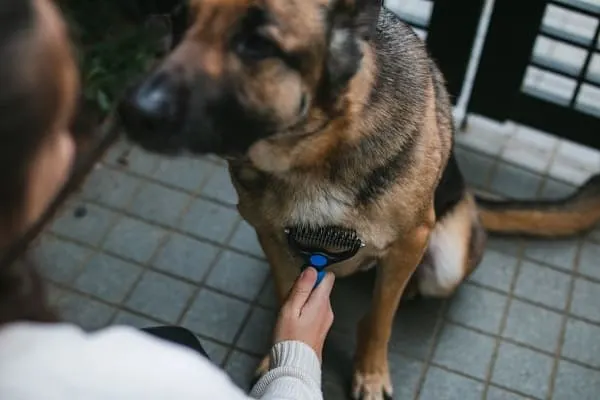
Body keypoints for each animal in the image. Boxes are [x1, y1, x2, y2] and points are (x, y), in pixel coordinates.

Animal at [119, 0, 600, 396]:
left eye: (258, 44)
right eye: (178, 23)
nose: (133, 111)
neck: (313, 153)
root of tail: (472, 197)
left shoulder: (410, 240)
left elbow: (378, 320)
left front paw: (370, 373)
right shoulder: (272, 236)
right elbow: (285, 294)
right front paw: (277, 352)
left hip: (446, 261)